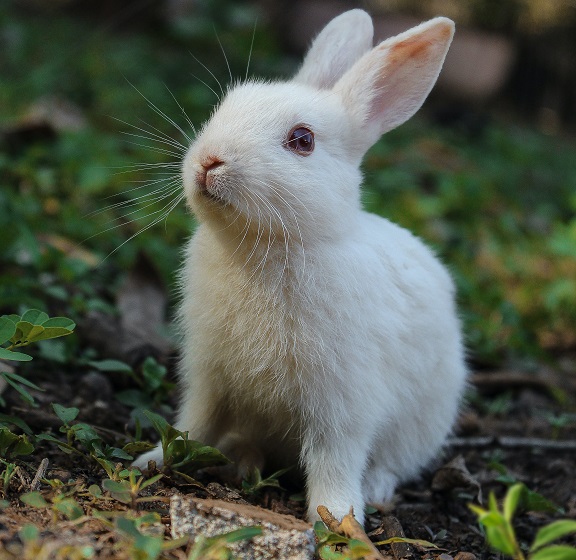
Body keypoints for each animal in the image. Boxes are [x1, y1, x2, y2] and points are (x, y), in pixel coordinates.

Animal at [135, 8, 468, 524]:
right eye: (225, 106)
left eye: (302, 140)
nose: (209, 161)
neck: (268, 246)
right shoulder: (208, 376)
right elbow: (194, 424)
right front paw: (153, 460)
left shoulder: (342, 402)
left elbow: (335, 459)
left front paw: (337, 518)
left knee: (392, 463)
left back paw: (374, 490)